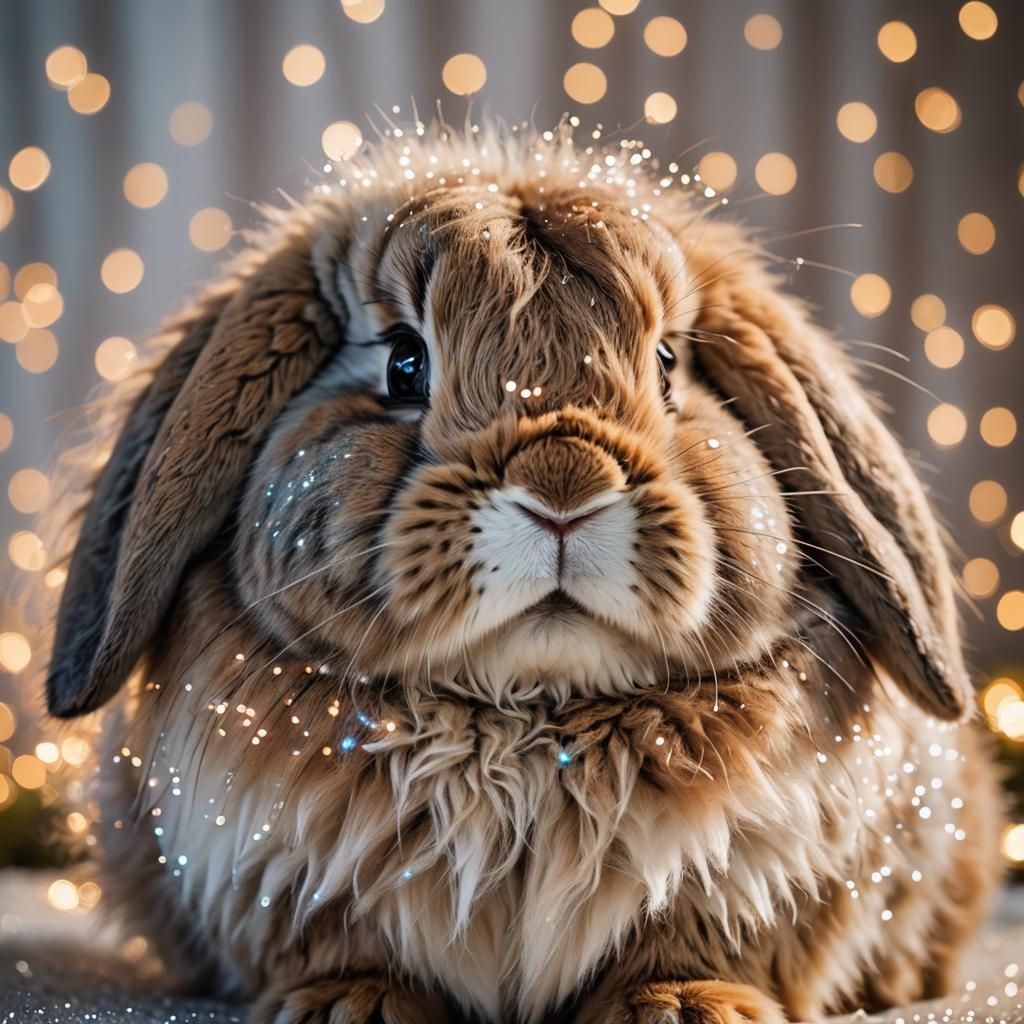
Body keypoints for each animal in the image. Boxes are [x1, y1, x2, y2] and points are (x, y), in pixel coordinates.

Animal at [43, 122, 1002, 1024]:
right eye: (403, 362)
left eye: (667, 364)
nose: (563, 486)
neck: (531, 723)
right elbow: (332, 942)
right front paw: (350, 1005)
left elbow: (706, 940)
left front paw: (686, 1006)